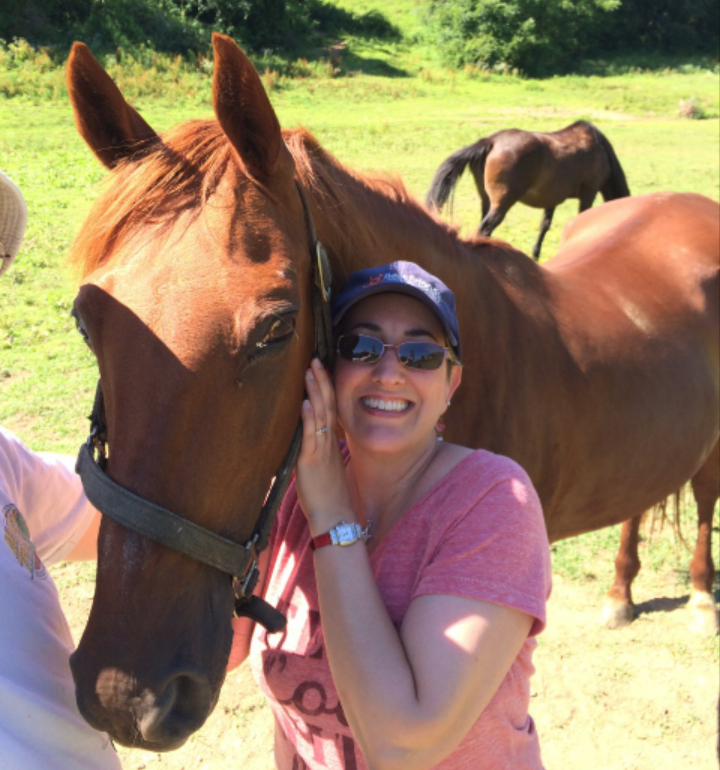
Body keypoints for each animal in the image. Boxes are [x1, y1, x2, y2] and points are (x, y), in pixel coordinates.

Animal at [428, 121, 632, 260]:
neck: (600, 148)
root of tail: (491, 141)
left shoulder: (552, 199)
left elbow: (545, 225)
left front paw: (535, 254)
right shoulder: (589, 192)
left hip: (486, 200)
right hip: (502, 203)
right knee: (485, 228)